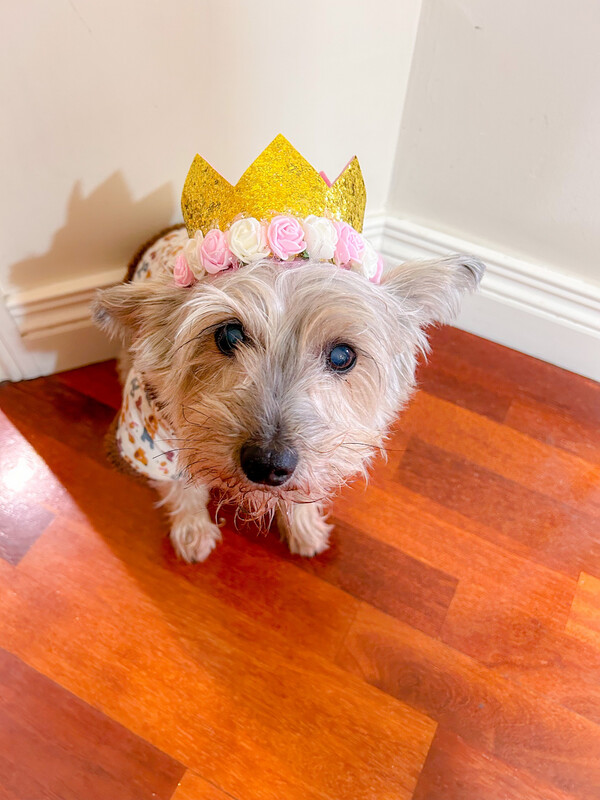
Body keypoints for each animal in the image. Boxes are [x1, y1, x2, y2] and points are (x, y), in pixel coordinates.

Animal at [91, 223, 482, 564]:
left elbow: (306, 489)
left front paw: (305, 528)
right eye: (229, 335)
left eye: (343, 356)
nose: (267, 464)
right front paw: (193, 532)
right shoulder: (151, 432)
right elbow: (181, 487)